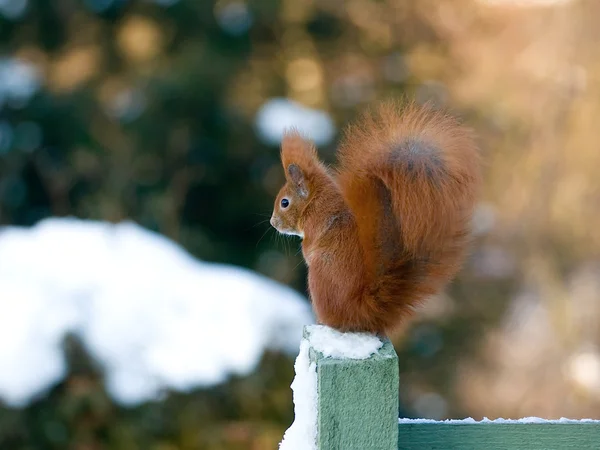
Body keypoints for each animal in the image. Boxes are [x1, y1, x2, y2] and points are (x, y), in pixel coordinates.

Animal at [270, 101, 480, 334]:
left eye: (284, 203)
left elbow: (309, 246)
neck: (315, 200)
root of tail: (361, 312)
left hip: (319, 278)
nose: (273, 223)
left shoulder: (316, 223)